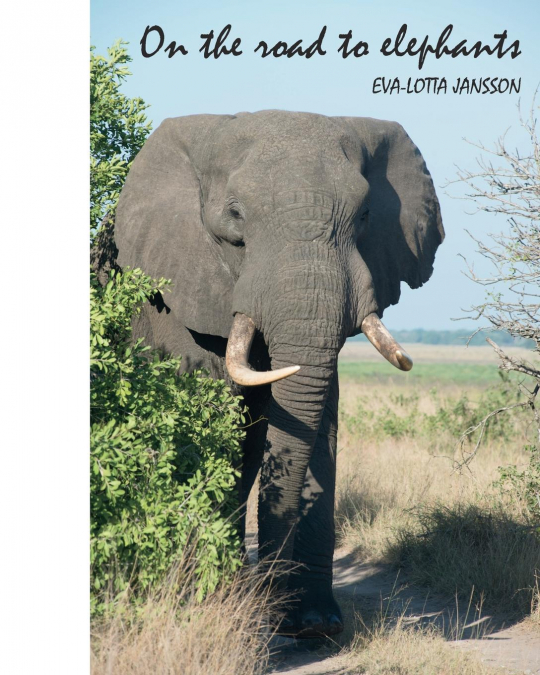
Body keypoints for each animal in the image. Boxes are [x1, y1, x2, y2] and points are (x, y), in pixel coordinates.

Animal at [113, 110, 444, 637]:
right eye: (235, 216)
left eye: (364, 217)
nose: (271, 604)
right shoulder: (175, 298)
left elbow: (318, 422)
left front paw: (316, 624)